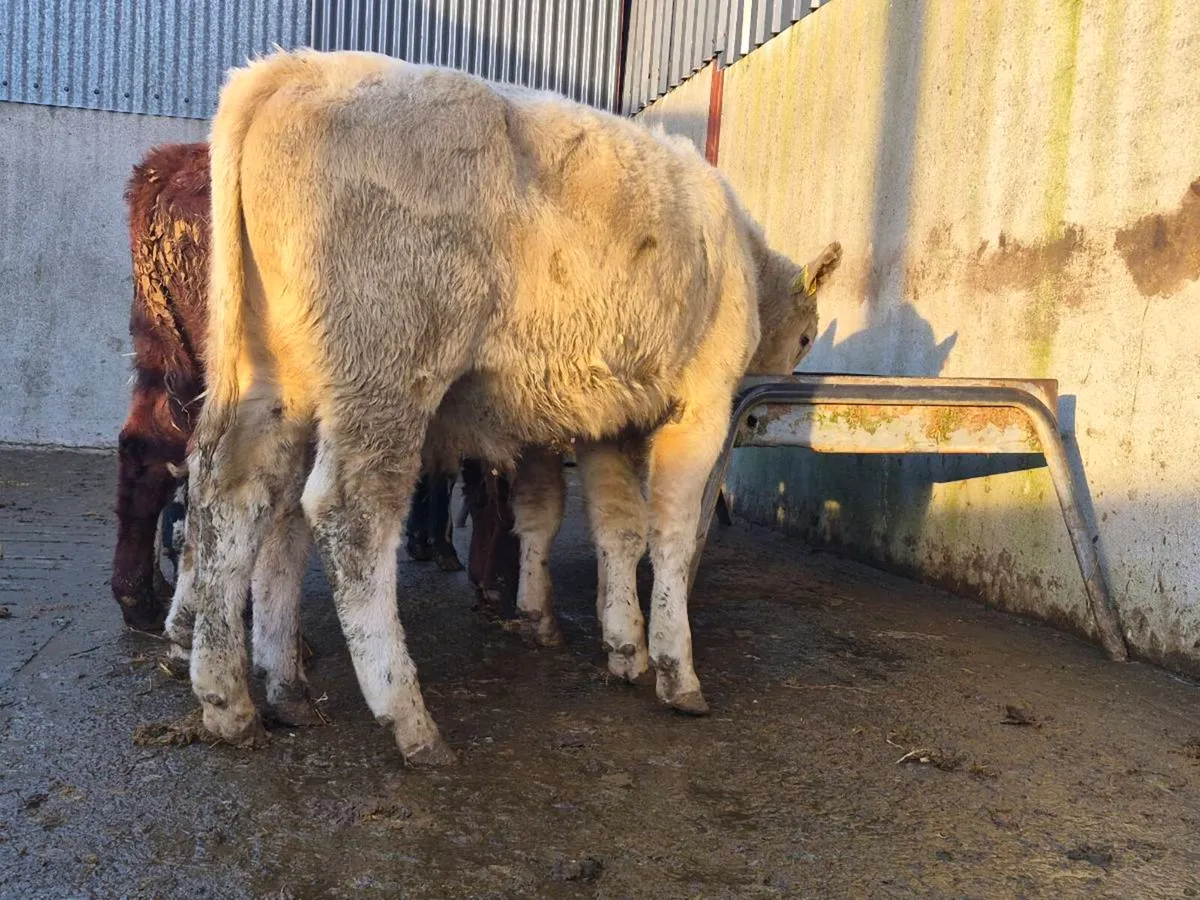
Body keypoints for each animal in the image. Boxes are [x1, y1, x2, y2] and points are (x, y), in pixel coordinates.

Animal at [167, 49, 828, 766]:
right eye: (808, 334)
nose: (788, 371)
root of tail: (295, 68)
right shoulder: (700, 404)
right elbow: (671, 535)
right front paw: (676, 668)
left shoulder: (608, 421)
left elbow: (618, 527)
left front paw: (624, 644)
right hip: (387, 370)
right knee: (350, 514)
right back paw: (408, 717)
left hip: (270, 374)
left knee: (236, 498)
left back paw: (238, 698)